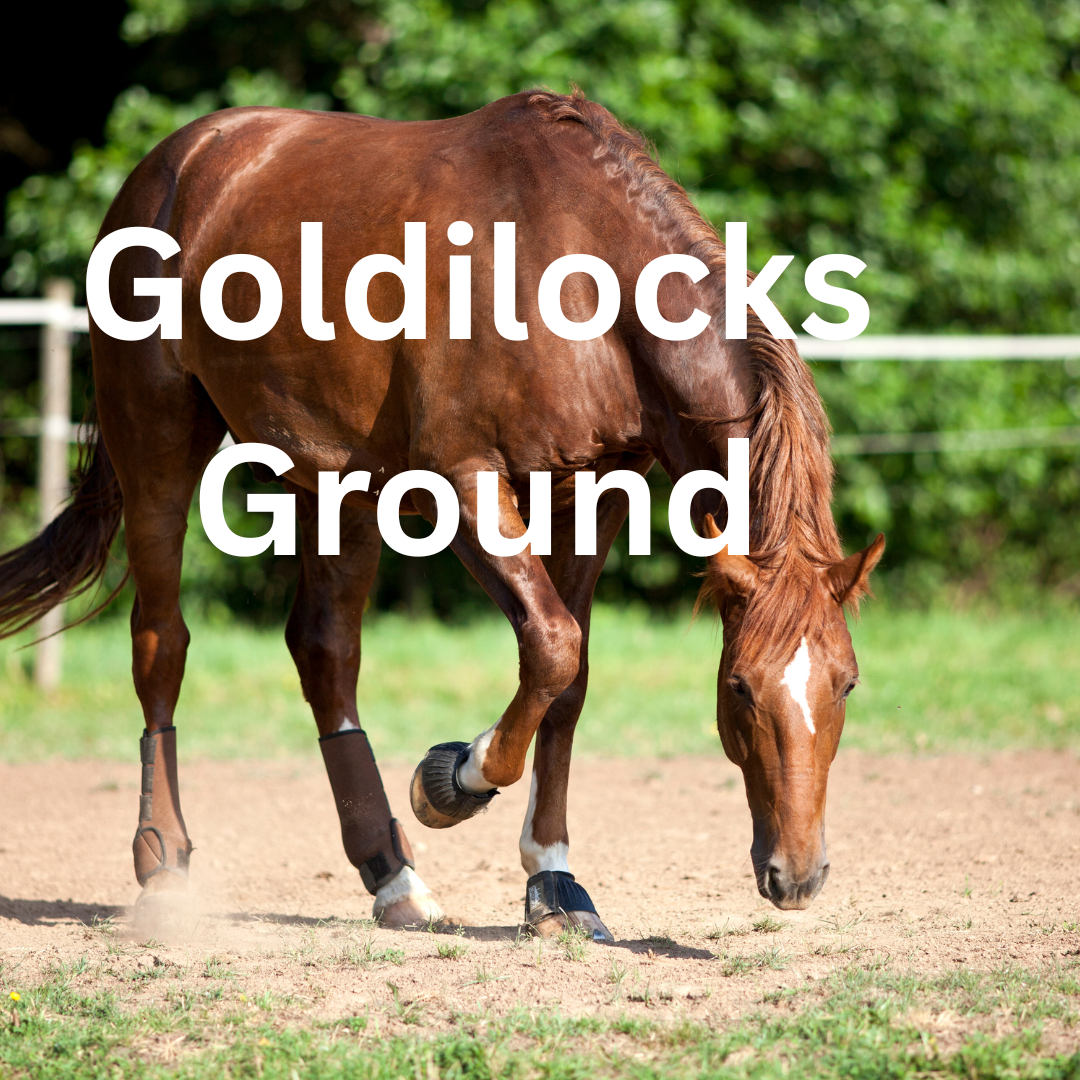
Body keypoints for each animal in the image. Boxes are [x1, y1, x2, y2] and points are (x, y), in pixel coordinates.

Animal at [0, 90, 883, 940]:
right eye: (739, 687)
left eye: (847, 684)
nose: (798, 876)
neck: (580, 271)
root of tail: (174, 162)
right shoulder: (461, 479)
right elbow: (551, 646)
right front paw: (455, 779)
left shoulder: (595, 493)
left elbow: (569, 677)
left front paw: (554, 882)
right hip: (158, 445)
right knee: (162, 644)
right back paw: (165, 870)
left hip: (337, 479)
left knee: (325, 653)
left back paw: (391, 876)